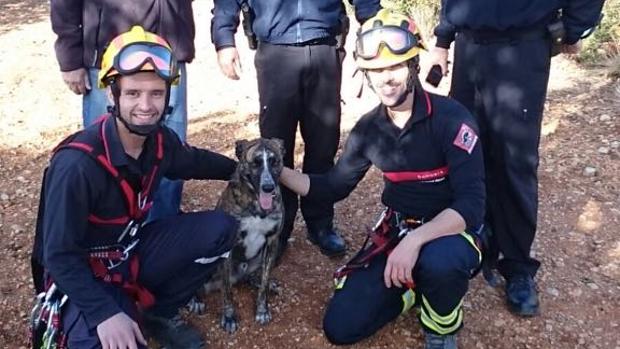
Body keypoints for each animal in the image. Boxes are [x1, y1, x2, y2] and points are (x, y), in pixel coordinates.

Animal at [208, 137, 286, 334]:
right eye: (255, 163)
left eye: (274, 161)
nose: (268, 187)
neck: (256, 204)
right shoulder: (227, 248)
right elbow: (226, 291)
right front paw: (229, 316)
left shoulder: (272, 242)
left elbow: (264, 283)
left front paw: (262, 309)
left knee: (256, 277)